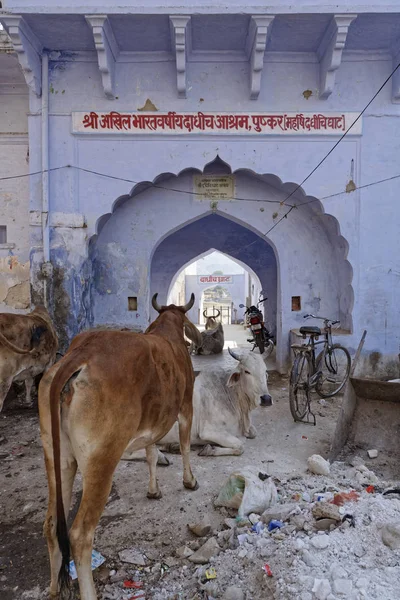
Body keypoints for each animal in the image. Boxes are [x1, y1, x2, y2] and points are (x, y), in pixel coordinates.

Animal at [39, 292, 202, 596]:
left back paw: (55, 589)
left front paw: (153, 490)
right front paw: (190, 481)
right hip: (102, 460)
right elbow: (185, 446)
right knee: (80, 535)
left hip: (56, 457)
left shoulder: (152, 423)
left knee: (52, 523)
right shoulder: (186, 405)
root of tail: (79, 355)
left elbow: (151, 454)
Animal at [123, 346, 274, 460]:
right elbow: (240, 445)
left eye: (265, 371)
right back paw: (161, 457)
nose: (266, 399)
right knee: (127, 454)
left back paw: (171, 447)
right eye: (247, 371)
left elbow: (253, 433)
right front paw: (209, 450)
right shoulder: (209, 431)